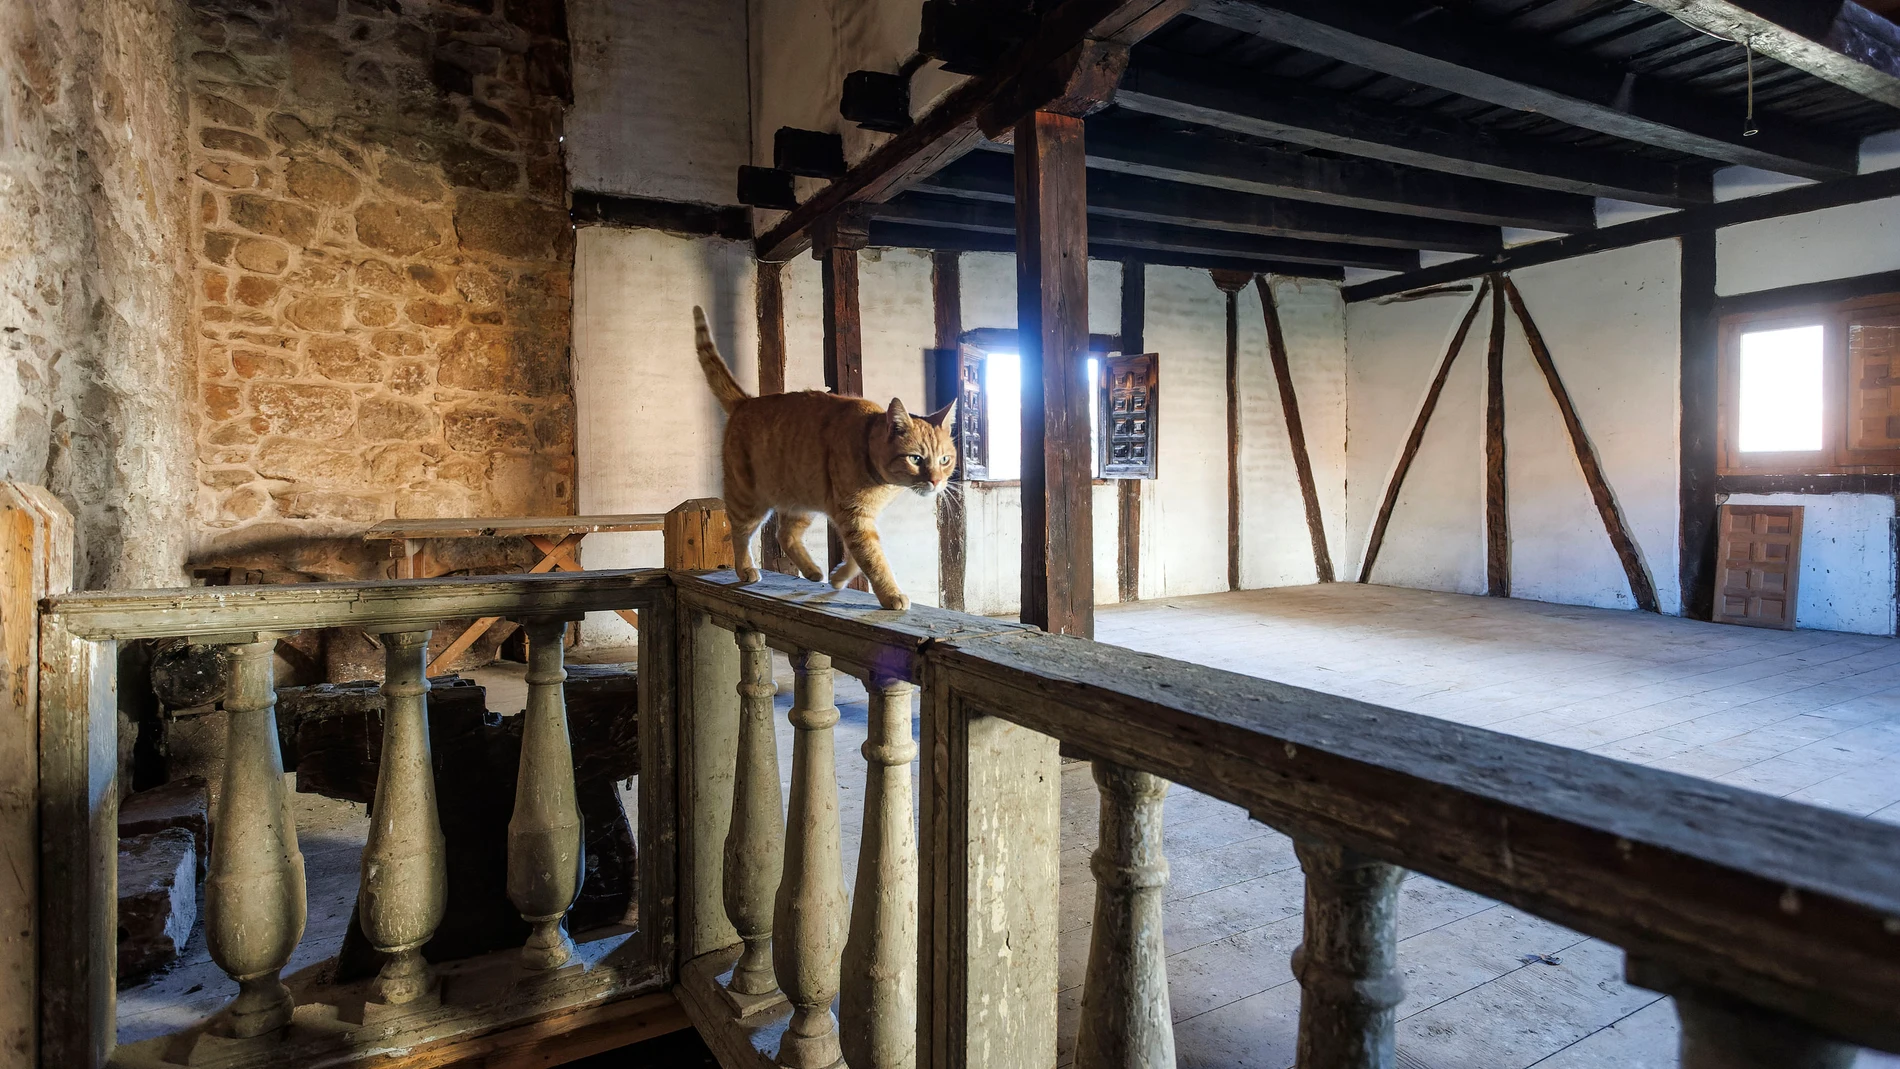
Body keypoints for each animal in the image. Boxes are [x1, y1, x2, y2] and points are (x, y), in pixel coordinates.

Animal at [691, 305, 957, 615]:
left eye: (945, 460)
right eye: (916, 458)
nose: (936, 482)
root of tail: (745, 401)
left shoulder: (858, 519)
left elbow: (858, 558)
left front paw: (839, 577)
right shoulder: (854, 517)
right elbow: (873, 559)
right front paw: (891, 594)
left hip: (800, 500)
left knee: (785, 535)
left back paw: (812, 571)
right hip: (748, 499)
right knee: (739, 534)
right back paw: (746, 569)